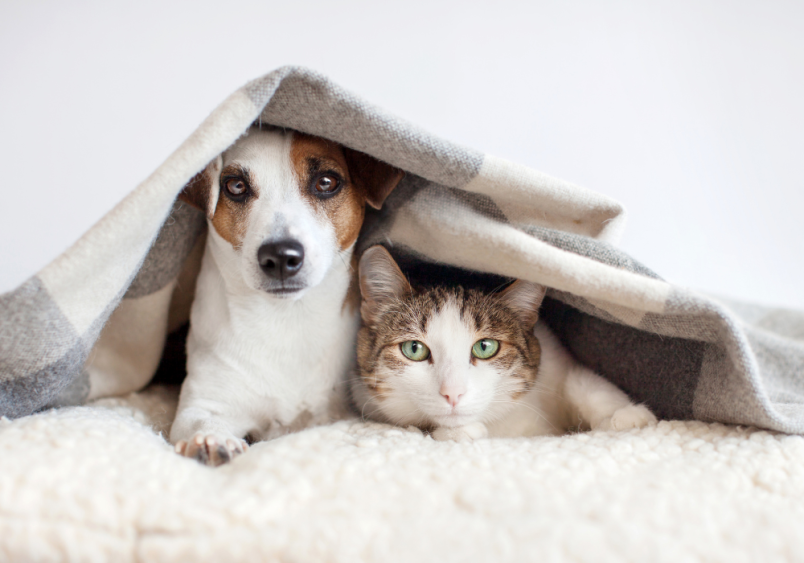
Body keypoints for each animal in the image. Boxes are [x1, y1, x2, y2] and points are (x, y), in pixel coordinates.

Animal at [173, 128, 406, 468]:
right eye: (236, 186)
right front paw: (210, 441)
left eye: (326, 182)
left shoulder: (332, 411)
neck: (285, 319)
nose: (280, 256)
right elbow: (202, 421)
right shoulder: (204, 402)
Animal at [354, 247, 660, 440]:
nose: (453, 393)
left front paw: (627, 417)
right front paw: (459, 432)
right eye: (414, 349)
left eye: (485, 347)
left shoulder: (555, 357)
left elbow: (582, 381)